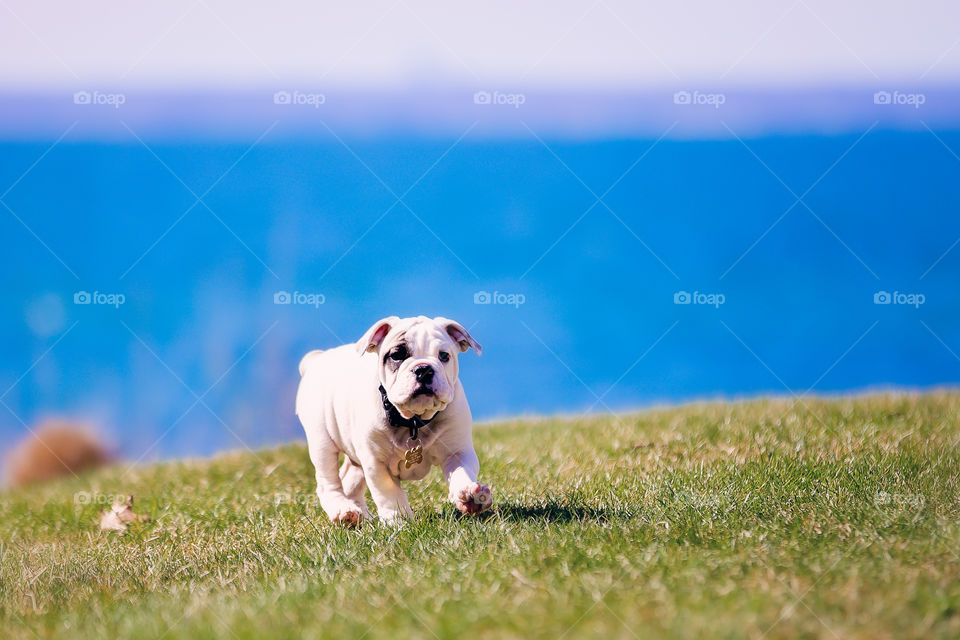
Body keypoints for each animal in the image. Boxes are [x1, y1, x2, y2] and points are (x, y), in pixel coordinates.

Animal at [294, 316, 492, 524]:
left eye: (444, 356)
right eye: (397, 355)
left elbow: (462, 471)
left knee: (349, 478)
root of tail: (315, 359)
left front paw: (469, 496)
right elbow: (389, 494)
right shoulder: (376, 463)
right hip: (322, 443)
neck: (413, 420)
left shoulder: (457, 451)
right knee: (328, 482)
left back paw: (359, 515)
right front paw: (399, 521)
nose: (423, 369)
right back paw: (342, 510)